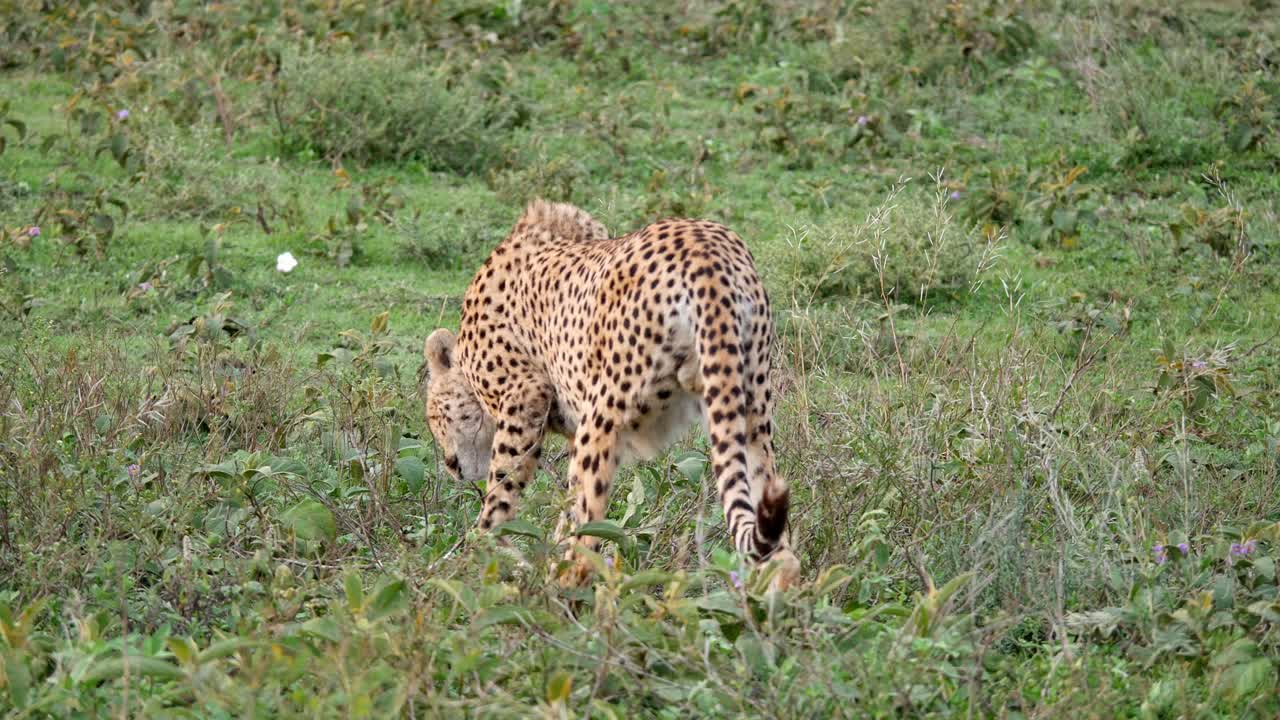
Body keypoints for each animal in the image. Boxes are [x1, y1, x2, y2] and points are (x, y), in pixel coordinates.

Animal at [421, 199, 799, 588]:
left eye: (434, 417)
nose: (452, 466)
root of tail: (706, 250)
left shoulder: (525, 395)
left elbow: (503, 493)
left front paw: (478, 559)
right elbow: (565, 509)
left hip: (604, 413)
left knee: (585, 547)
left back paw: (556, 590)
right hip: (749, 407)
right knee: (780, 549)